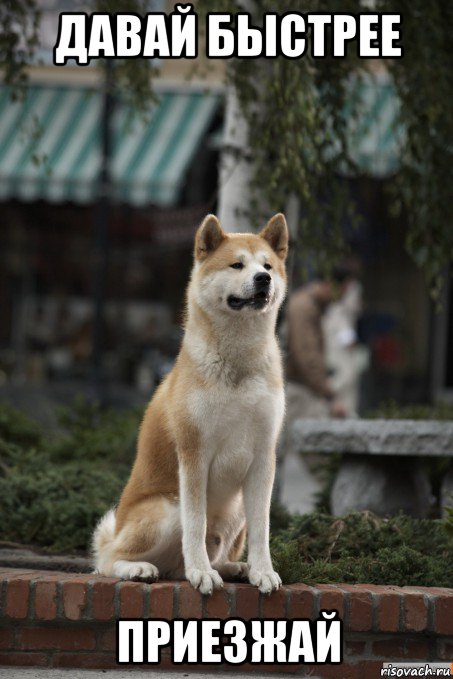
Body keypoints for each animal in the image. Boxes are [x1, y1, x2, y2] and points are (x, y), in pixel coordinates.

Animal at [93, 212, 288, 596]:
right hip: (167, 508)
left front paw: (263, 571)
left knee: (203, 558)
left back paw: (235, 568)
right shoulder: (194, 454)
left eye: (268, 266)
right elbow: (195, 526)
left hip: (236, 509)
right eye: (237, 264)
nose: (263, 279)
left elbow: (263, 530)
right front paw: (201, 573)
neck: (237, 364)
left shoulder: (263, 457)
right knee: (108, 560)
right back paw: (142, 568)